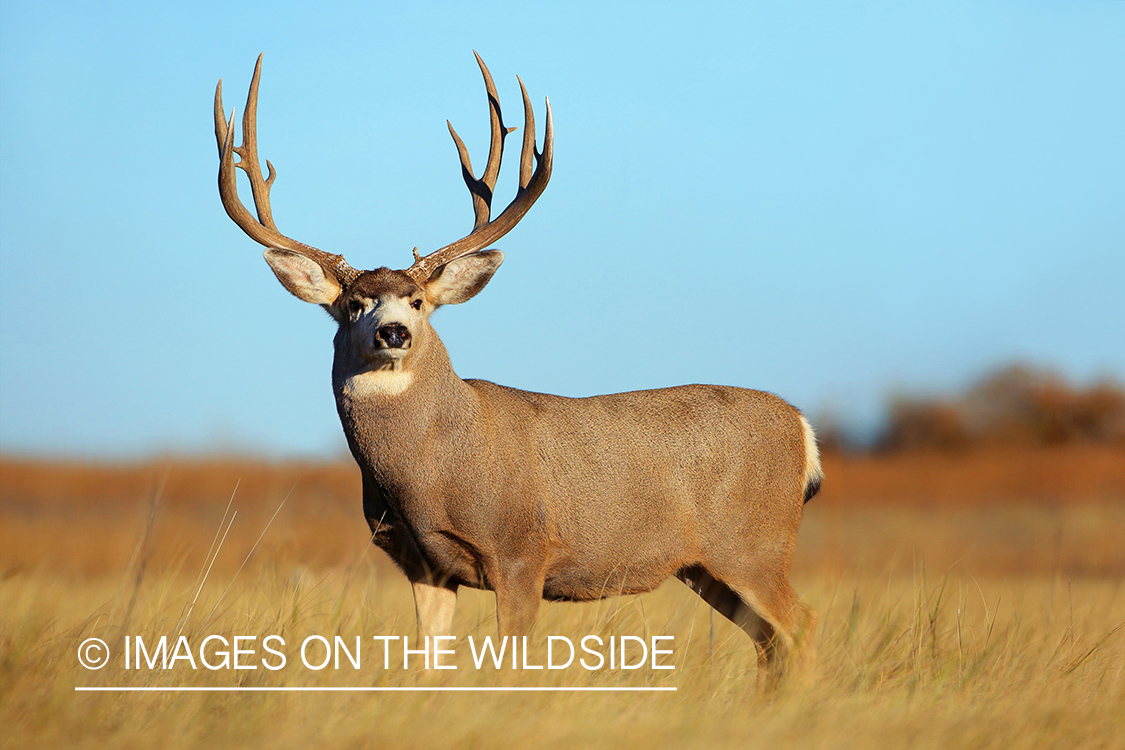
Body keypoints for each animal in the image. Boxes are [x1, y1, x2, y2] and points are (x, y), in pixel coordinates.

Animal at [214, 52, 823, 688]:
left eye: (418, 301)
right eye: (354, 304)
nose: (393, 332)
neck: (432, 472)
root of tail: (803, 430)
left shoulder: (522, 552)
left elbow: (511, 663)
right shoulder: (422, 564)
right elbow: (426, 664)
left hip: (753, 544)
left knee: (801, 625)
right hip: (708, 566)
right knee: (770, 642)